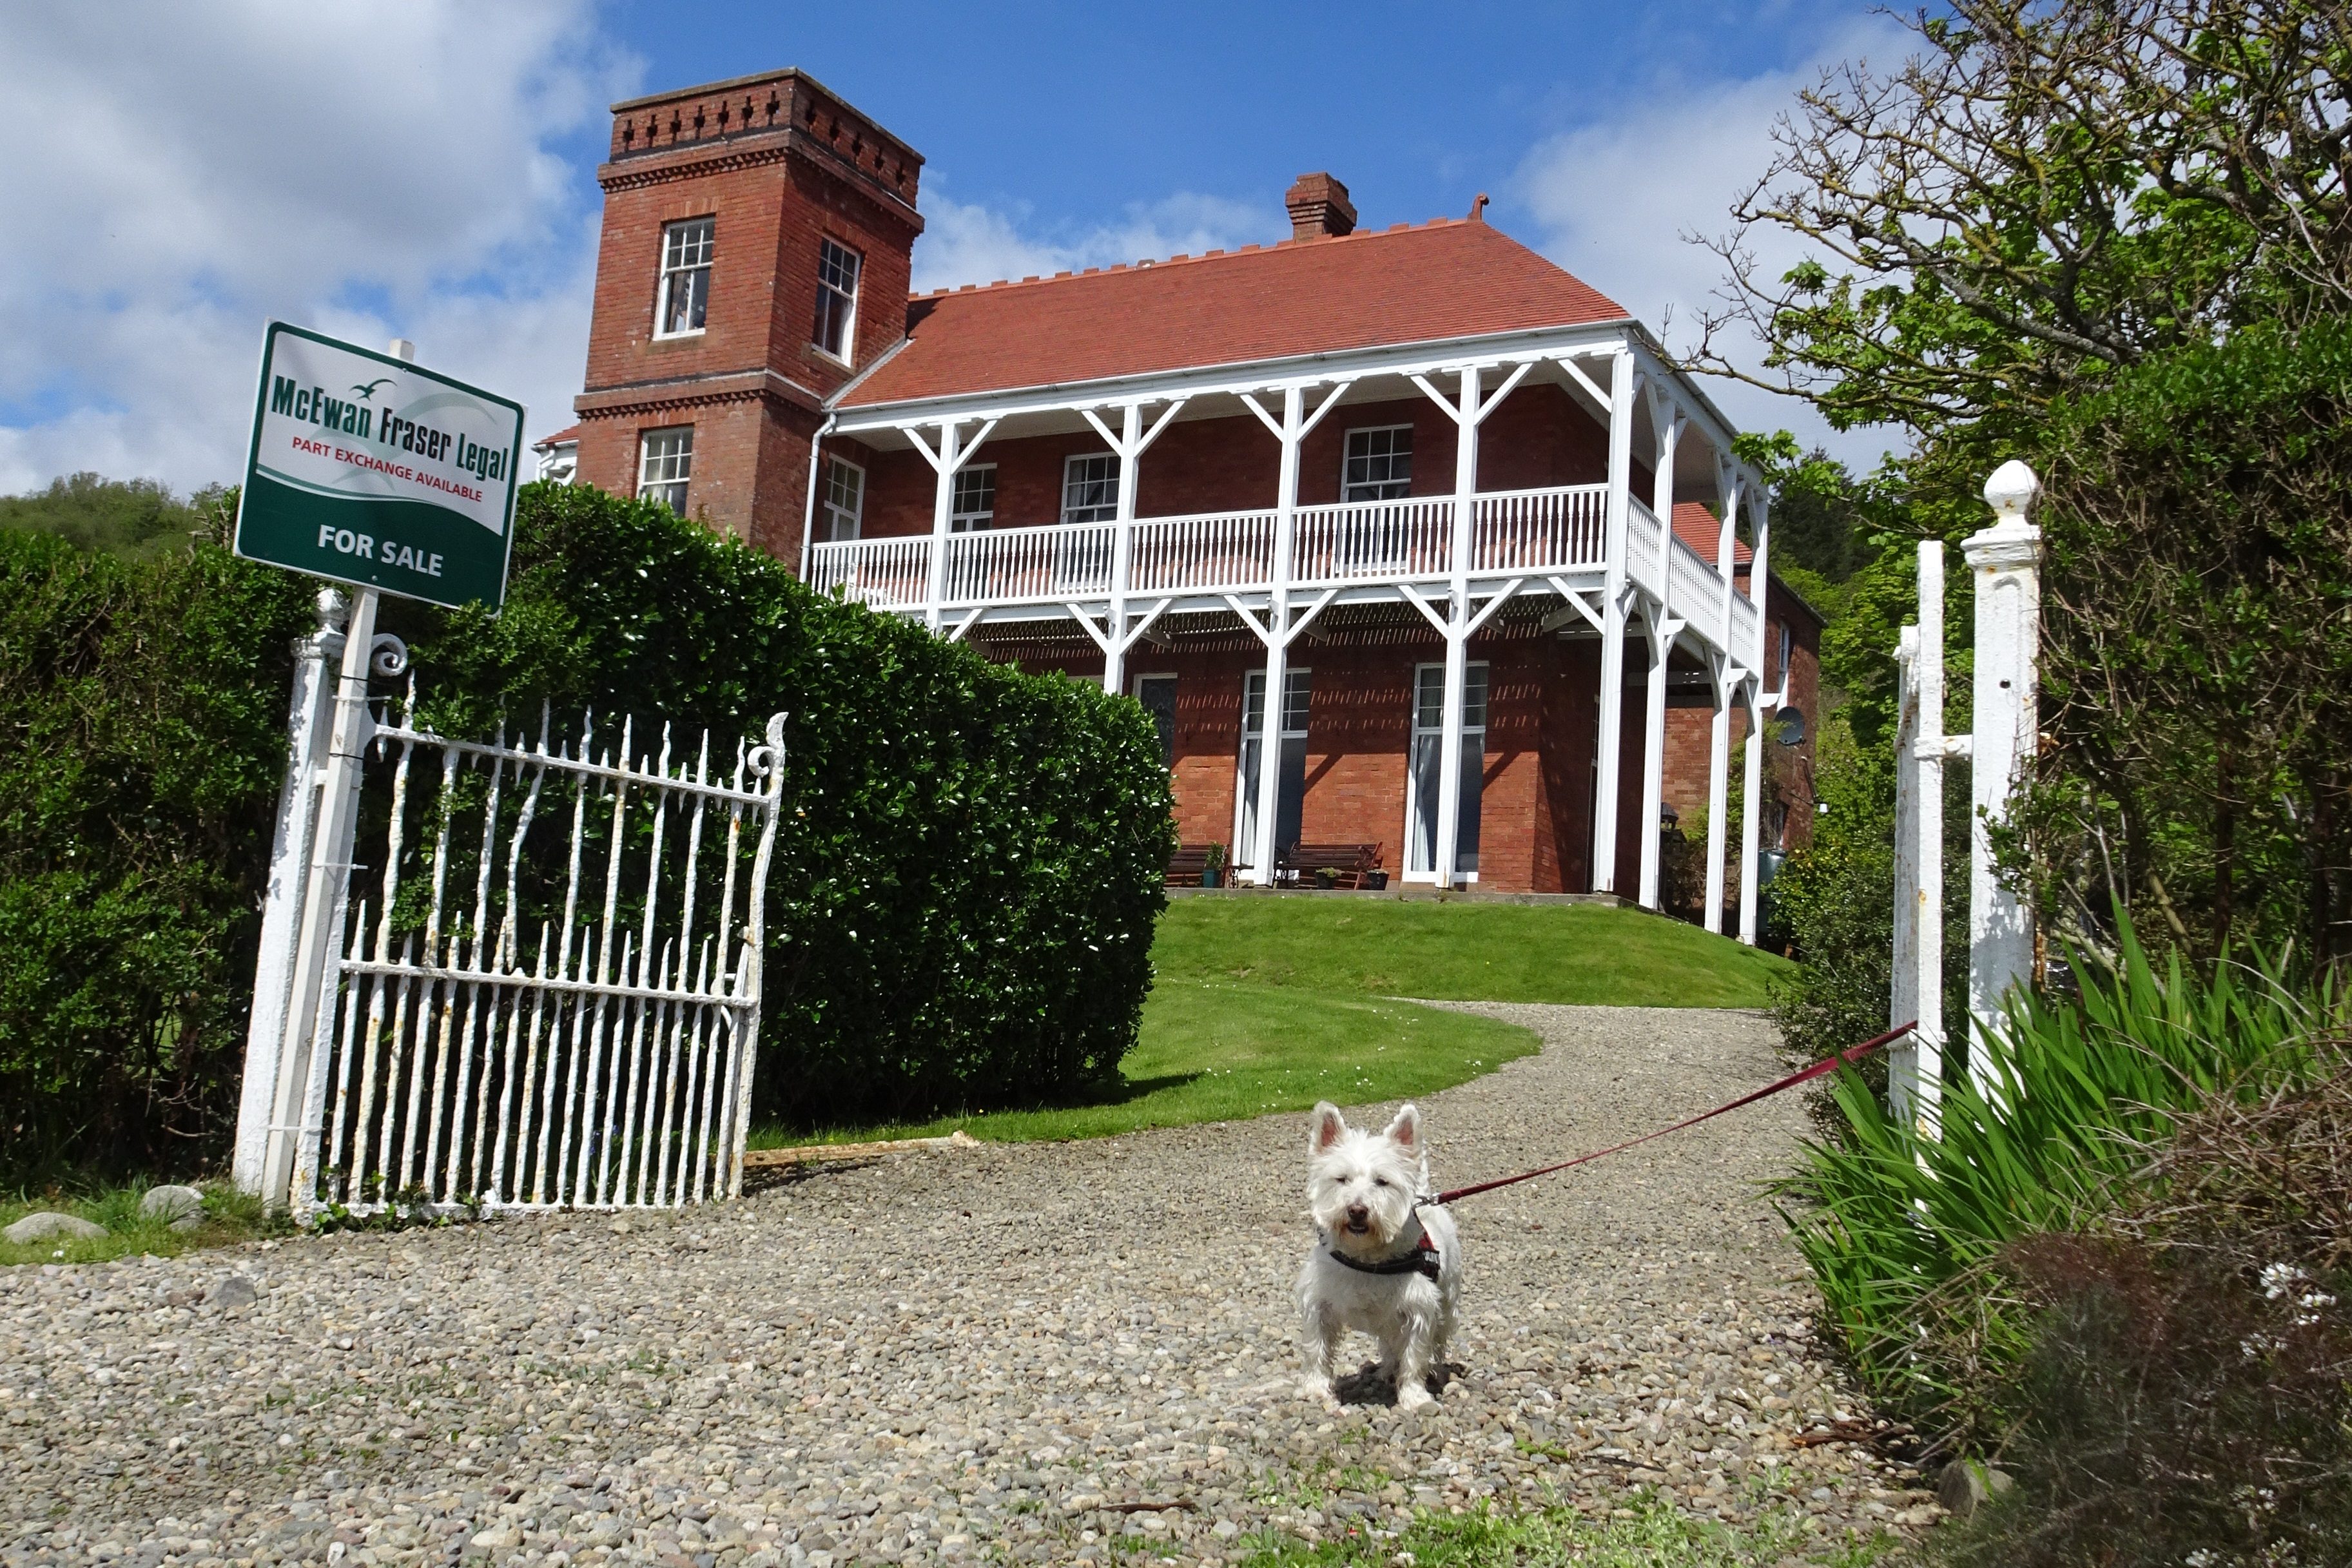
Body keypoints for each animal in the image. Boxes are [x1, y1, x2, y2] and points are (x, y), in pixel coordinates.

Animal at [1298, 1105, 1458, 1410]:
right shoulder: (1319, 1305)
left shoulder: (1418, 1309)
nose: (1357, 1210)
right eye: (1342, 1179)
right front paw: (1316, 1389)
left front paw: (1414, 1397)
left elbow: (1415, 1355)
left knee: (1437, 1341)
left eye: (1382, 1182)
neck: (1366, 1256)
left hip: (1448, 1301)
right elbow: (1316, 1349)